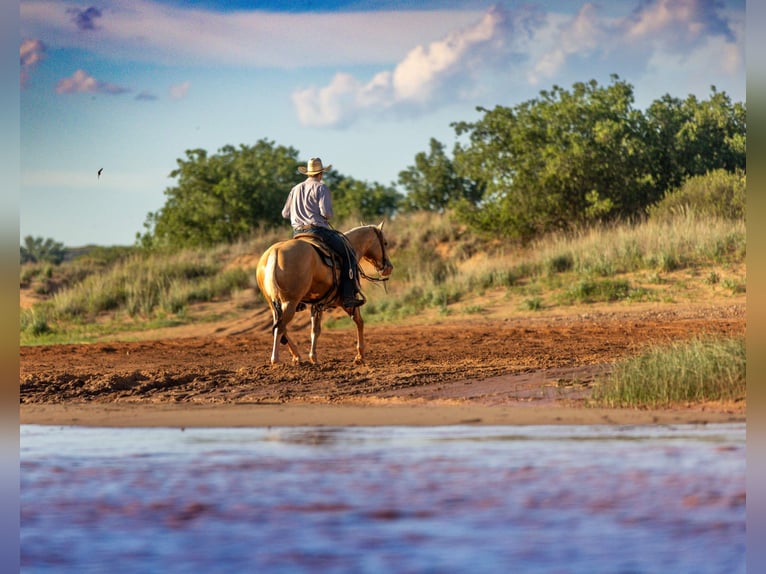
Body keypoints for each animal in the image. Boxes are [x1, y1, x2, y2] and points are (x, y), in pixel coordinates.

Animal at [256, 223, 393, 365]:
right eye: (385, 243)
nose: (389, 267)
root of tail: (275, 252)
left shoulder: (318, 303)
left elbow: (315, 330)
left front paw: (313, 357)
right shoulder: (346, 301)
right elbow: (359, 321)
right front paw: (360, 355)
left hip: (273, 303)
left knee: (280, 325)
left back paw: (297, 355)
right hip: (290, 302)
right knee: (280, 327)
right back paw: (275, 359)